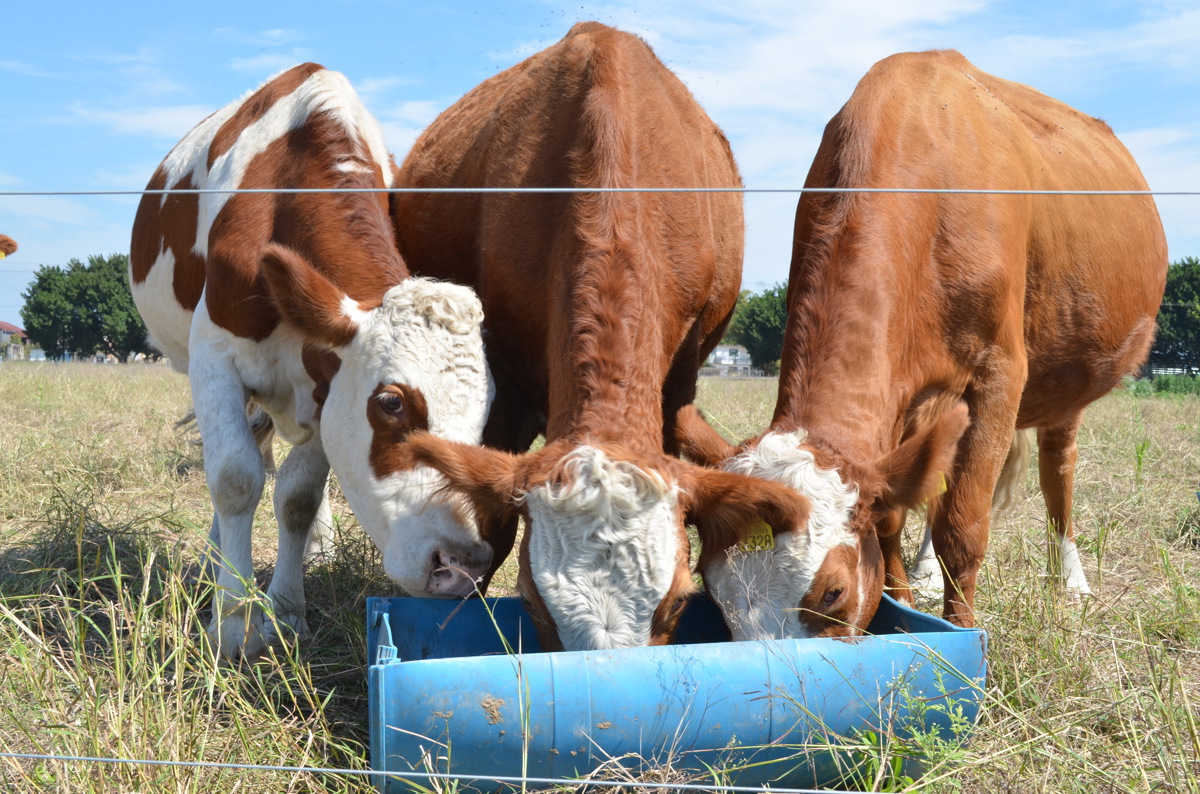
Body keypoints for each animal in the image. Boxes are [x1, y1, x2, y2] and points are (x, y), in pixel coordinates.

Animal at [126, 63, 492, 657]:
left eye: (483, 419)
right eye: (391, 403)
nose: (465, 565)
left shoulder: (327, 383)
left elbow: (297, 495)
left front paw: (286, 610)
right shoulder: (213, 357)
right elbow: (234, 478)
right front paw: (233, 619)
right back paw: (214, 560)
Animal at [691, 49, 1166, 642]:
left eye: (833, 592)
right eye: (714, 594)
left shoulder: (998, 374)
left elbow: (963, 528)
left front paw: (960, 633)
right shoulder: (899, 399)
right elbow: (892, 517)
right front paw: (904, 601)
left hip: (1066, 374)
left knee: (1058, 468)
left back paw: (1070, 579)